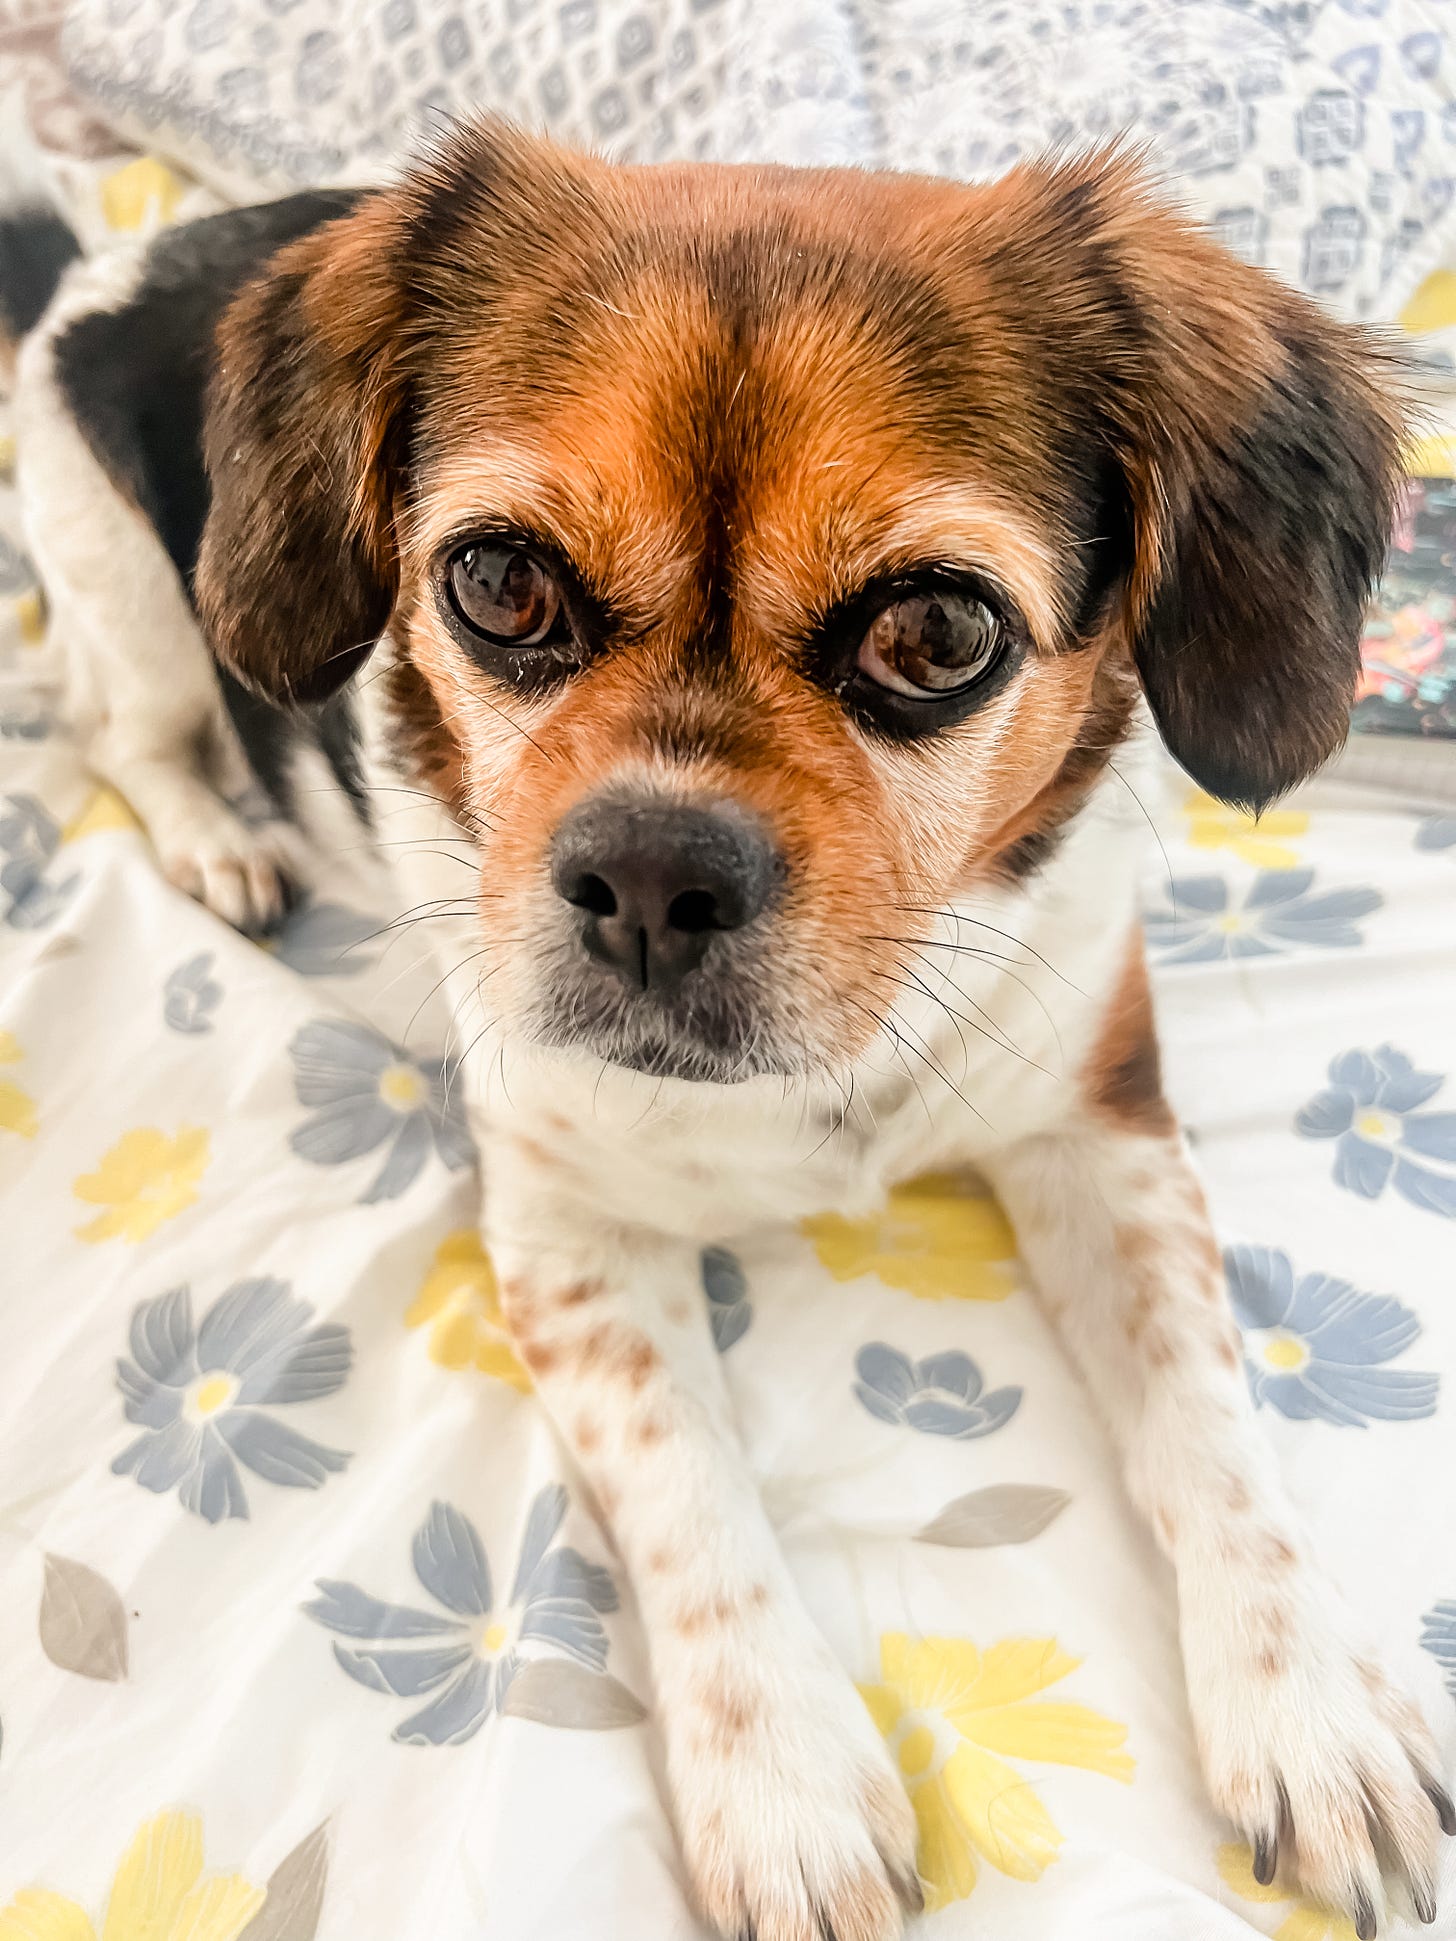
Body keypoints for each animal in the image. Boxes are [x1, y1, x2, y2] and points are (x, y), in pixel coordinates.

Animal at [5, 117, 1452, 1941]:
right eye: (496, 582)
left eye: (937, 632)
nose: (646, 872)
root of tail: (114, 266)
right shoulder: (569, 1236)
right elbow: (690, 1488)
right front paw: (788, 1784)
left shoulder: (1104, 1127)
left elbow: (1212, 1423)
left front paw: (1315, 1705)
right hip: (127, 585)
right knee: (125, 732)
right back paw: (217, 839)